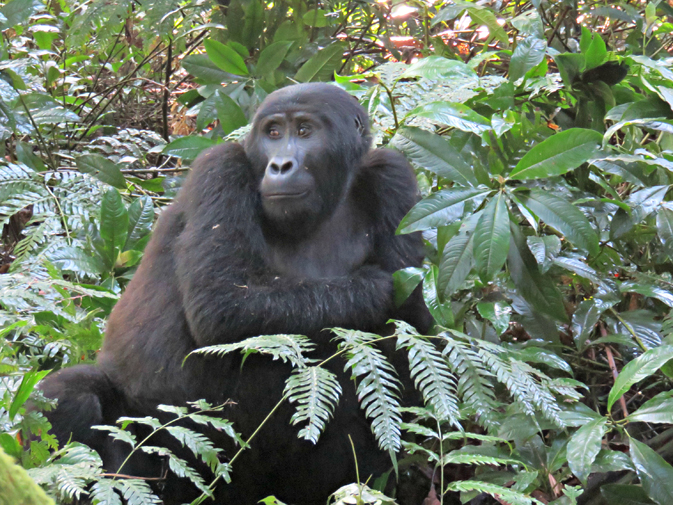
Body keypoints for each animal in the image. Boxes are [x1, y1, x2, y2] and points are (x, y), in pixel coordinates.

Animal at [40, 80, 430, 502]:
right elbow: (224, 303)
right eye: (273, 132)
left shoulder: (392, 175)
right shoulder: (220, 168)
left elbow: (410, 340)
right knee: (75, 395)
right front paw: (379, 289)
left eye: (305, 130)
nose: (280, 165)